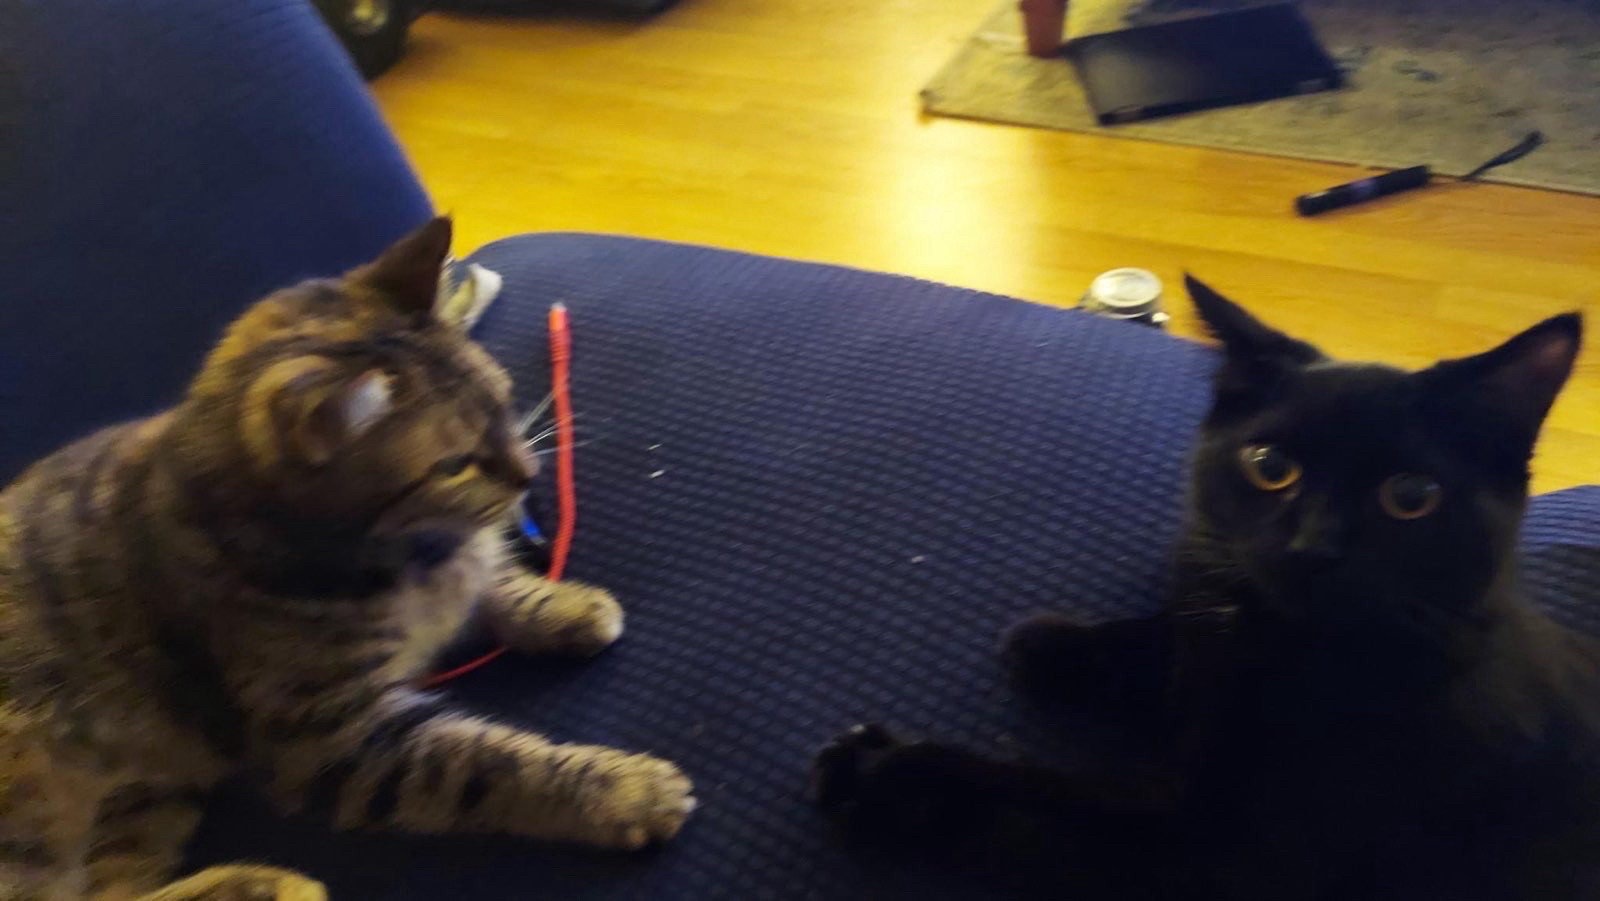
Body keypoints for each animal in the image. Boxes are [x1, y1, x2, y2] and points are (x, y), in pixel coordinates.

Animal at [0, 220, 694, 901]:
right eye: (454, 464)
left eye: (501, 399)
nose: (528, 475)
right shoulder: (344, 745)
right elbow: (491, 766)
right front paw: (624, 792)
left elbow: (498, 587)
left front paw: (569, 607)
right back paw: (262, 885)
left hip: (149, 795)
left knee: (112, 886)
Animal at [812, 278, 1600, 896]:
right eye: (1269, 464)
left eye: (1410, 496)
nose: (1312, 546)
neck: (1291, 651)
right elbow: (1176, 638)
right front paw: (1059, 647)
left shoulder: (1227, 860)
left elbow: (1051, 814)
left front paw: (893, 777)